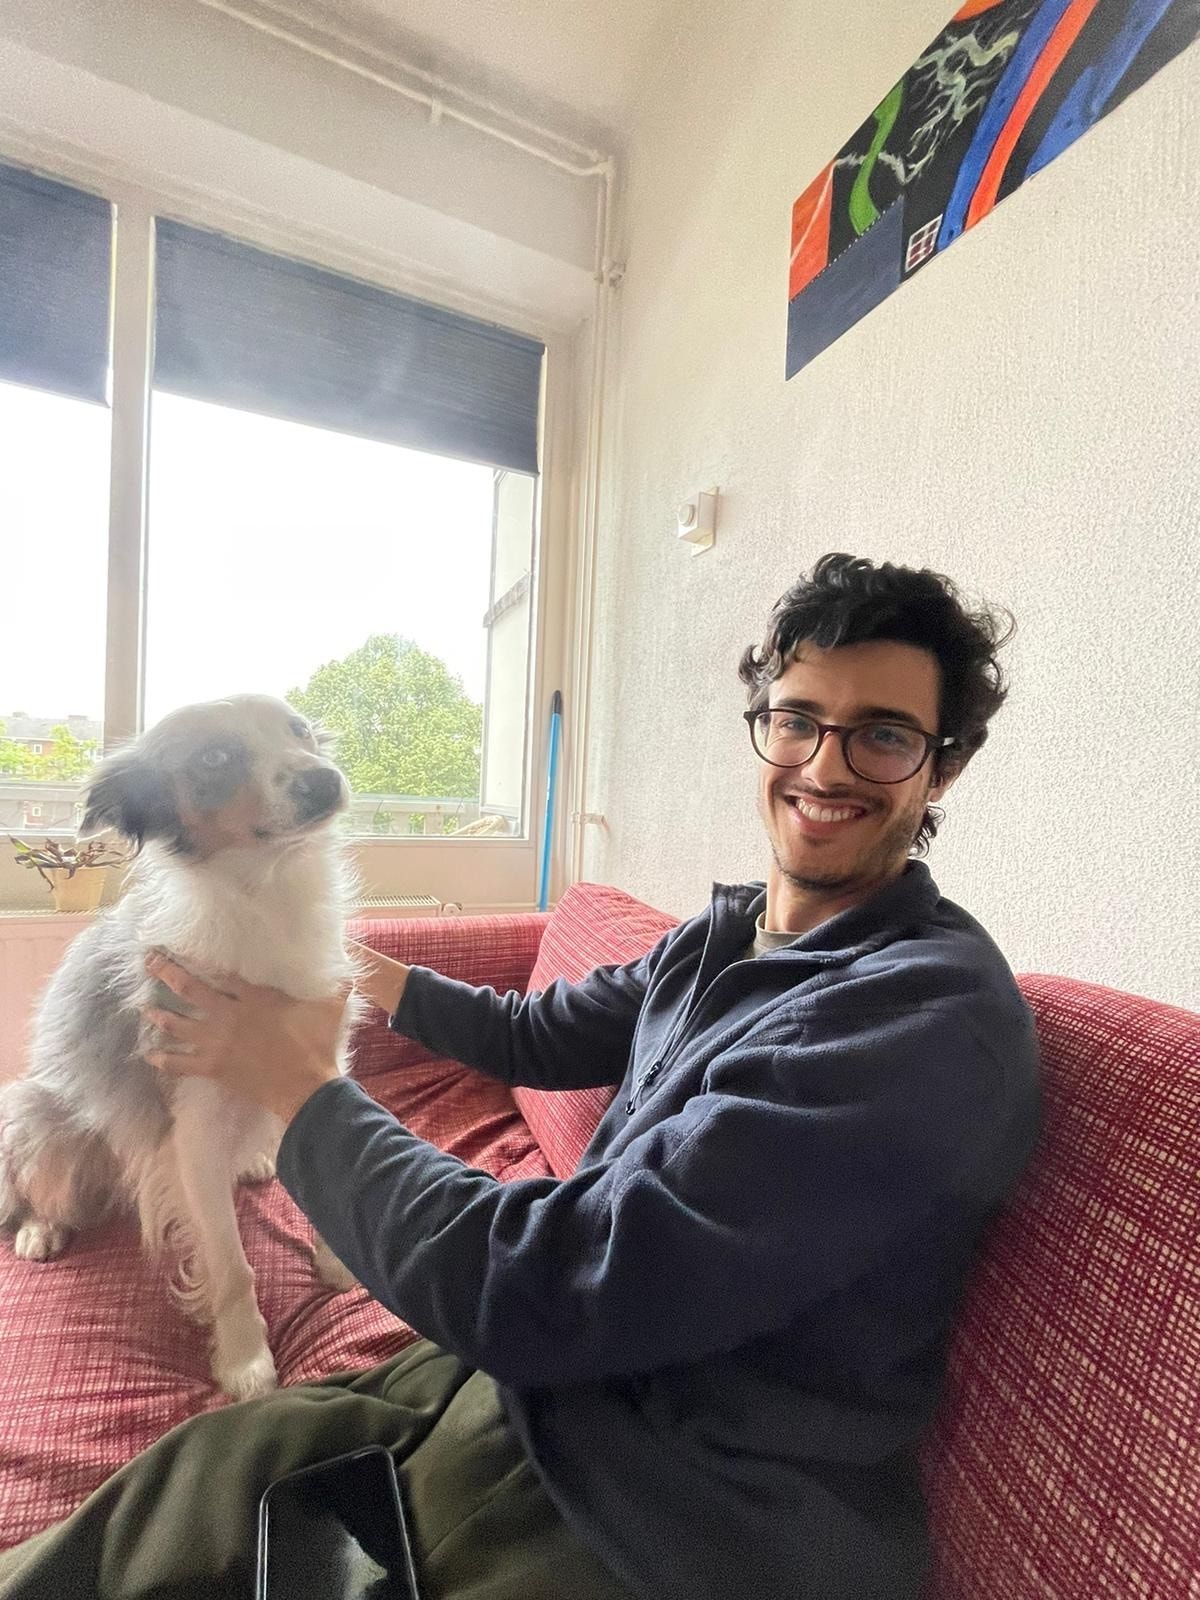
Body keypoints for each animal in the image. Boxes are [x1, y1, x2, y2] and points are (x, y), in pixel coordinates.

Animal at [0, 695, 365, 1399]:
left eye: (300, 732)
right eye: (215, 757)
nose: (324, 781)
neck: (266, 891)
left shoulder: (314, 1068)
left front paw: (337, 1261)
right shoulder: (191, 1130)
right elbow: (232, 1264)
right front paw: (246, 1360)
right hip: (39, 1113)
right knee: (39, 1181)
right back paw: (40, 1228)